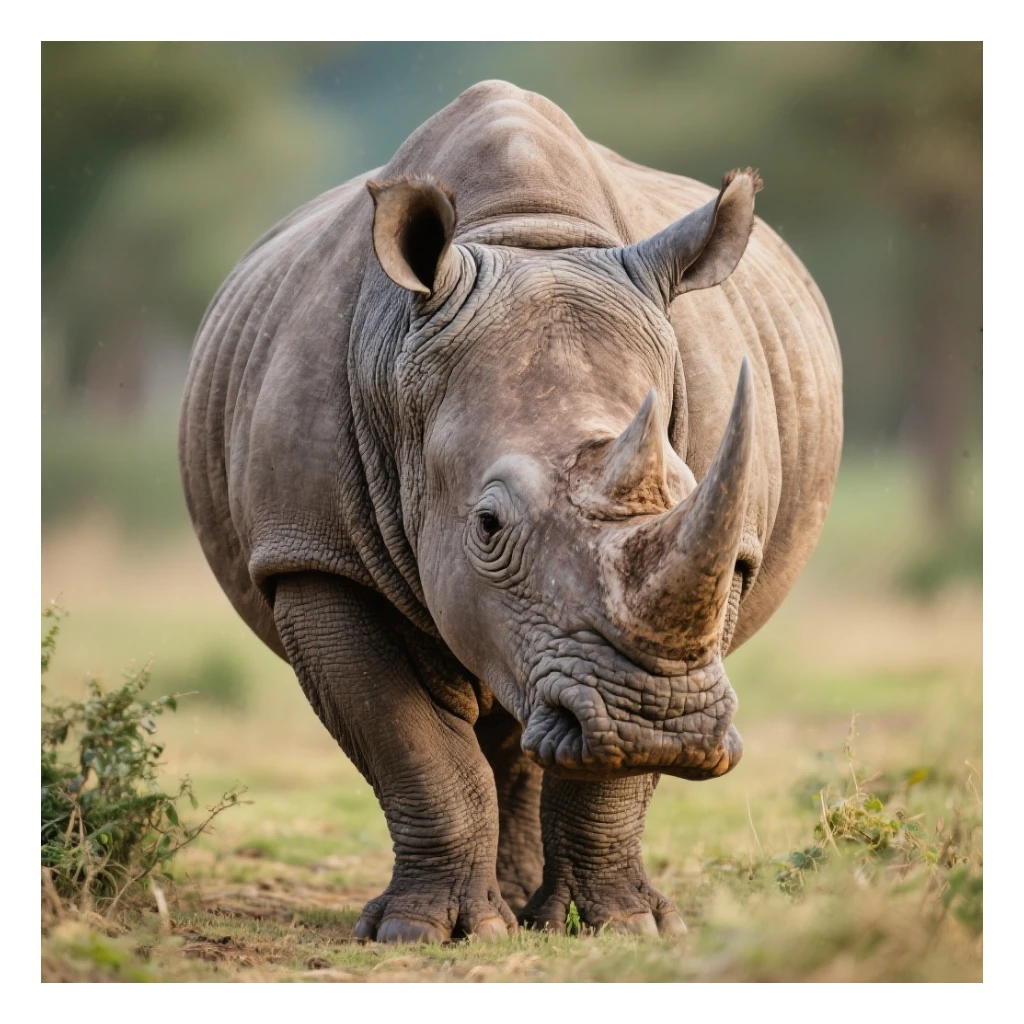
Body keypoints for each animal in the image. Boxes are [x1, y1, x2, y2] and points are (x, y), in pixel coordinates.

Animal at [179, 80, 842, 942]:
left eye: (694, 496)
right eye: (488, 525)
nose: (660, 721)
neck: (525, 236)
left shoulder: (716, 577)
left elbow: (608, 772)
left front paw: (627, 925)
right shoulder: (311, 555)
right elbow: (411, 744)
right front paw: (423, 931)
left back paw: (529, 904)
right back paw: (503, 906)